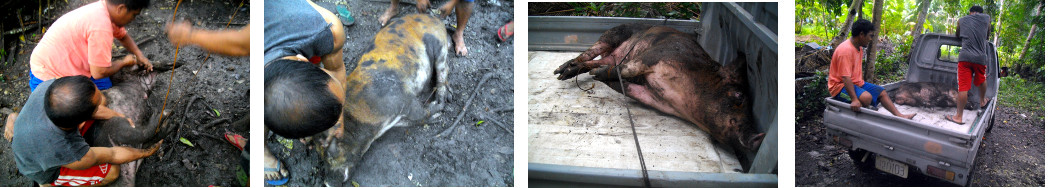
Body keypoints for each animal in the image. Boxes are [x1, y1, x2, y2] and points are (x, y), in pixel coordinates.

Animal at [320, 13, 448, 184]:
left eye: (328, 154)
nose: (326, 182)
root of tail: (434, 18)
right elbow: (411, 120)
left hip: (439, 45)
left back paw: (443, 96)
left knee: (443, 70)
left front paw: (438, 110)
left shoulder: (402, 99)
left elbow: (419, 112)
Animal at [553, 23, 767, 152]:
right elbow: (626, 69)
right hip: (612, 34)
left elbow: (627, 86)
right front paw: (601, 74)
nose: (760, 137)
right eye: (739, 95)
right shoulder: (656, 55)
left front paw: (599, 76)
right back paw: (561, 72)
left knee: (596, 61)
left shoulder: (654, 98)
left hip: (611, 51)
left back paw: (579, 71)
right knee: (589, 54)